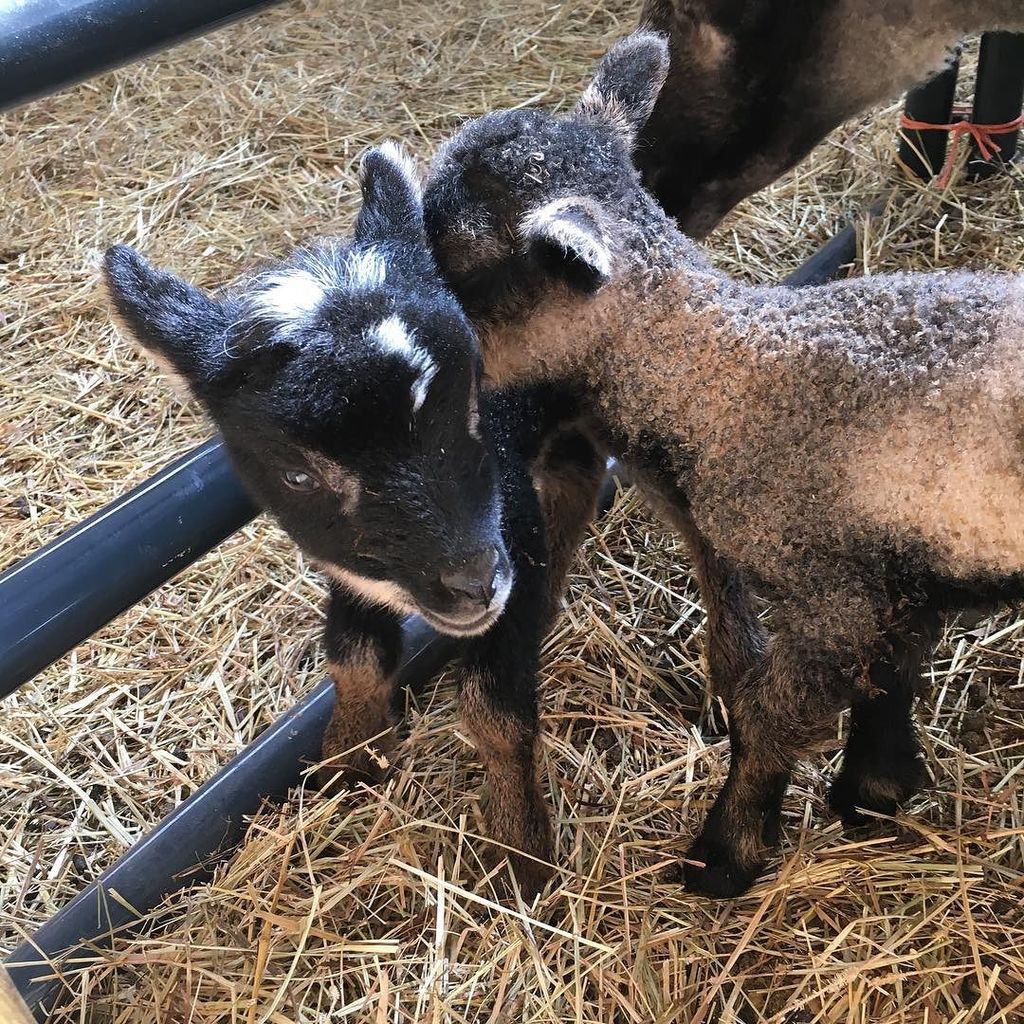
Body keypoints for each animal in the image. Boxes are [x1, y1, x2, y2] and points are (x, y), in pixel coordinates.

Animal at [104, 144, 605, 898]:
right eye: (298, 474)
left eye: (472, 409)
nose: (470, 581)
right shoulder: (349, 560)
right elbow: (354, 657)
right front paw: (352, 764)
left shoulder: (510, 526)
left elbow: (494, 708)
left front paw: (523, 857)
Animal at [422, 29, 1024, 898]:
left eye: (457, 252)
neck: (720, 366)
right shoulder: (900, 577)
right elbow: (888, 679)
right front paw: (877, 791)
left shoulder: (831, 592)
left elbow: (771, 714)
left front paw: (724, 853)